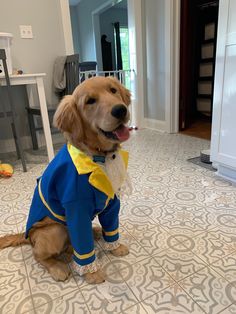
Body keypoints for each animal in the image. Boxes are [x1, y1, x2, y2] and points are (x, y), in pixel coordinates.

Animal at [0, 76, 131, 284]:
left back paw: (94, 233)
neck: (99, 156)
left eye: (113, 90)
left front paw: (116, 247)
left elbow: (112, 228)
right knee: (39, 255)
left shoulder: (112, 203)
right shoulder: (76, 209)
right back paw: (58, 267)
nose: (120, 110)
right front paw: (92, 273)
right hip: (55, 230)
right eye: (90, 101)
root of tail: (28, 236)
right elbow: (84, 249)